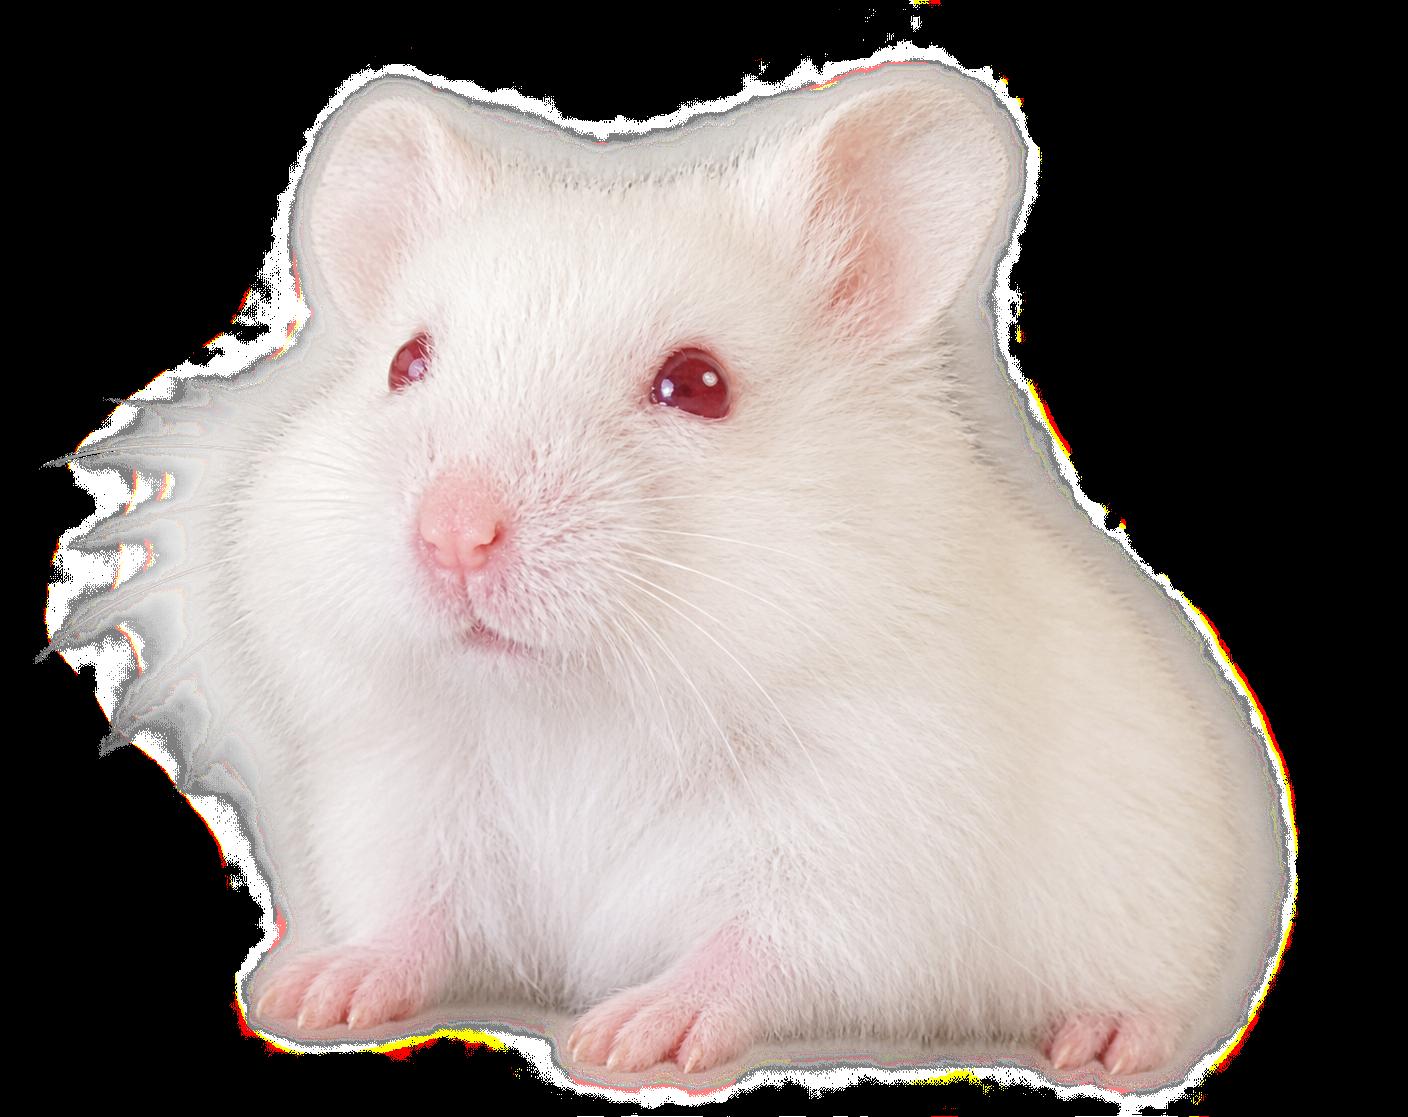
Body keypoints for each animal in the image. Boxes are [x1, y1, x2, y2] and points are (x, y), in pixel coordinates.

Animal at [51, 62, 1288, 1085]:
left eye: (696, 384)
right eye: (406, 363)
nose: (453, 535)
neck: (574, 707)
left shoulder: (861, 849)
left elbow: (756, 949)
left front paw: (628, 1036)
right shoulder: (407, 802)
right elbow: (409, 918)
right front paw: (311, 992)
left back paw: (1106, 1044)